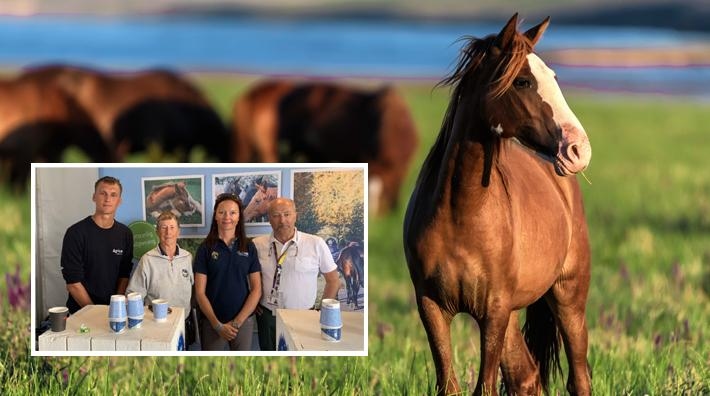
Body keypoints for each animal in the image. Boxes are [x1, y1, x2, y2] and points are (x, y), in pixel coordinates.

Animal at [406, 13, 596, 394]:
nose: (578, 149)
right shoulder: (432, 307)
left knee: (578, 378)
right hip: (513, 315)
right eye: (523, 81)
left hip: (568, 298)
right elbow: (450, 384)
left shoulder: (493, 310)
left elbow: (485, 386)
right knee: (526, 376)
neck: (461, 212)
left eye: (554, 77)